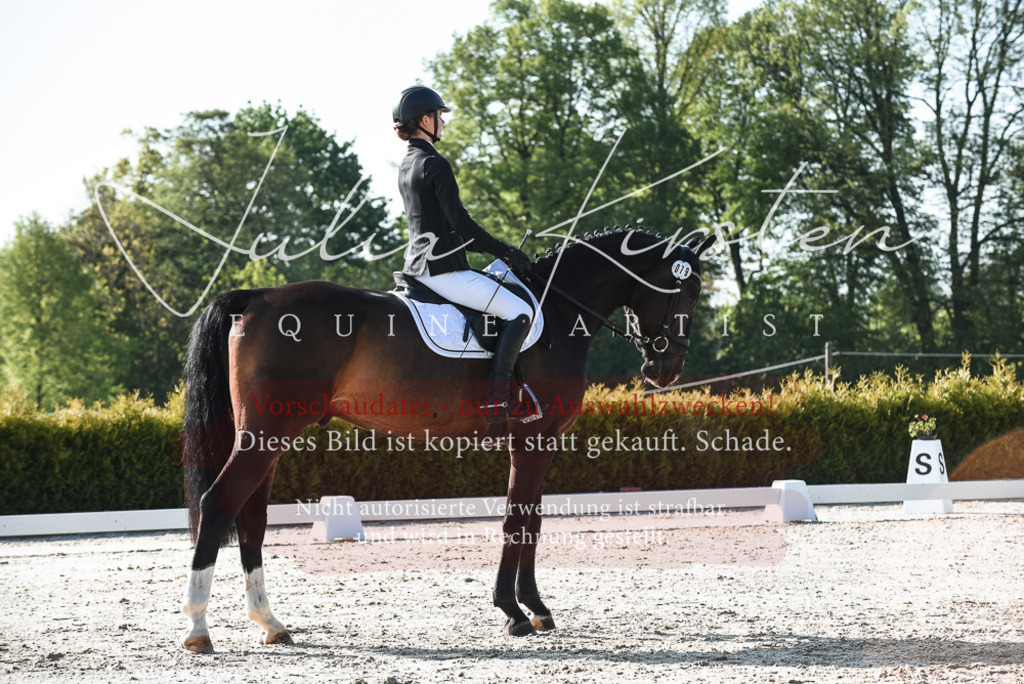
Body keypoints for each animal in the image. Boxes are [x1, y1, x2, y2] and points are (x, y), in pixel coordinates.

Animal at [179, 227, 716, 652]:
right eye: (689, 291)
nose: (666, 370)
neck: (561, 308)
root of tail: (257, 296)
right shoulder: (532, 439)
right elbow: (516, 520)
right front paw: (513, 612)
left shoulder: (538, 443)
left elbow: (533, 521)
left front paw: (536, 607)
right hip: (264, 435)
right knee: (219, 502)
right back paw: (198, 629)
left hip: (267, 437)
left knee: (251, 516)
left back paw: (270, 623)